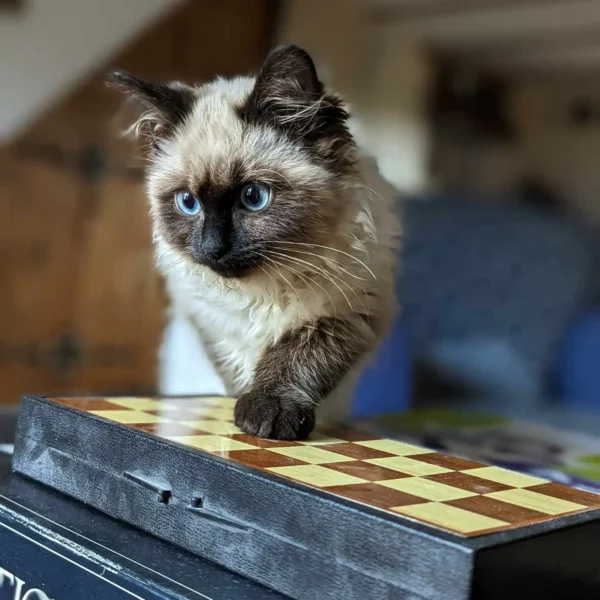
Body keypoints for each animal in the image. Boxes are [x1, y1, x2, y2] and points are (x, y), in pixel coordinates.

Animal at [112, 44, 398, 440]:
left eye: (254, 197)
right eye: (188, 203)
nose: (212, 247)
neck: (262, 293)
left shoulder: (342, 313)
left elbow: (293, 362)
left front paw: (268, 416)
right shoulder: (207, 324)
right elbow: (236, 371)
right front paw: (246, 407)